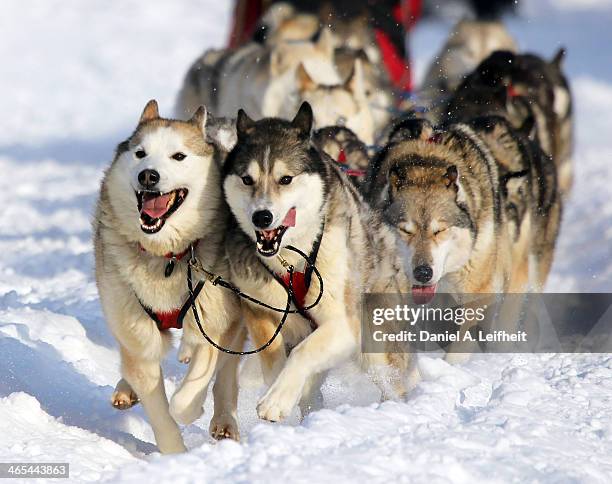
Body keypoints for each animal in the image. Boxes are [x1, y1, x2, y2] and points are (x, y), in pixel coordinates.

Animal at [93, 99, 244, 454]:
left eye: (178, 156)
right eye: (140, 153)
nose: (148, 175)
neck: (167, 257)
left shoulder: (216, 319)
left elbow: (189, 392)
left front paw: (191, 409)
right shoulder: (135, 326)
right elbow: (157, 404)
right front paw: (175, 455)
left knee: (226, 371)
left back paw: (224, 420)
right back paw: (126, 388)